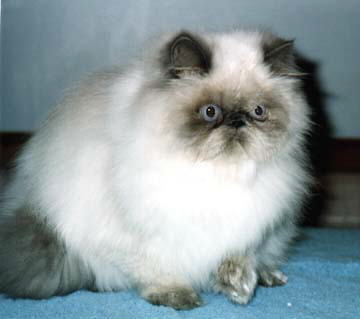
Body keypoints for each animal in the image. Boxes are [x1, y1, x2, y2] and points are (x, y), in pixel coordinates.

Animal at [0, 29, 312, 310]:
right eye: (210, 112)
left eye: (259, 111)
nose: (237, 121)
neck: (217, 174)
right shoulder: (136, 237)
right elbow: (158, 270)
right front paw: (177, 297)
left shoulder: (251, 224)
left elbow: (238, 256)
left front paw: (239, 286)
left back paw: (269, 276)